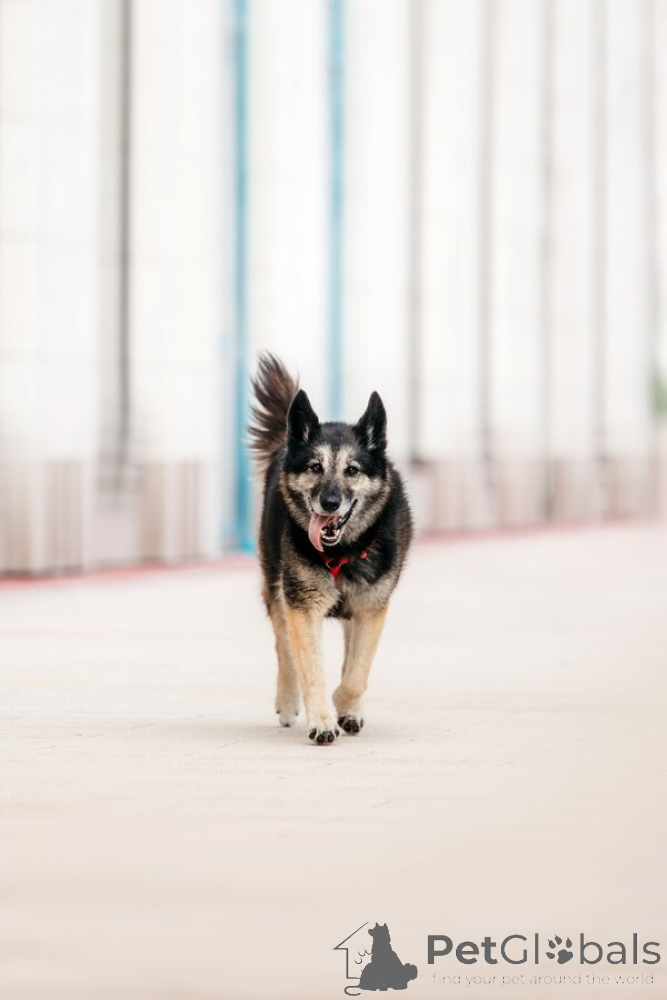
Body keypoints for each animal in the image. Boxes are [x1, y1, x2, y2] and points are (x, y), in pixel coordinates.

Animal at [249, 353, 413, 745]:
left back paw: (352, 711)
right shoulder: (303, 607)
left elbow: (356, 674)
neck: (343, 552)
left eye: (352, 470)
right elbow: (311, 667)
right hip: (277, 588)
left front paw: (345, 705)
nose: (330, 503)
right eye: (314, 467)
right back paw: (289, 701)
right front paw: (323, 718)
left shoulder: (371, 609)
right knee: (285, 649)